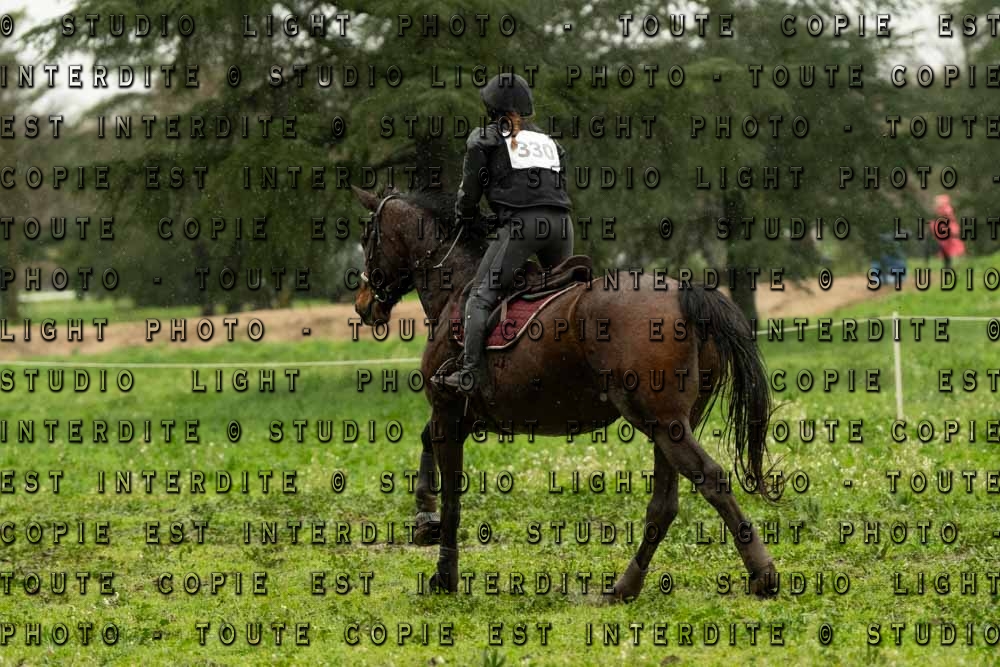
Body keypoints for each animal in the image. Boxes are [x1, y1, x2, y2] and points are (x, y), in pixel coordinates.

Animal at [351, 185, 780, 600]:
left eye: (367, 236)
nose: (362, 306)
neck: (455, 285)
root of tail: (684, 293)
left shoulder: (448, 410)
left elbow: (453, 496)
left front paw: (443, 572)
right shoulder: (465, 414)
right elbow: (426, 442)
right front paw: (425, 519)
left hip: (661, 422)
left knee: (711, 479)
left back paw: (762, 574)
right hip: (672, 425)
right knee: (664, 503)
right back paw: (625, 586)